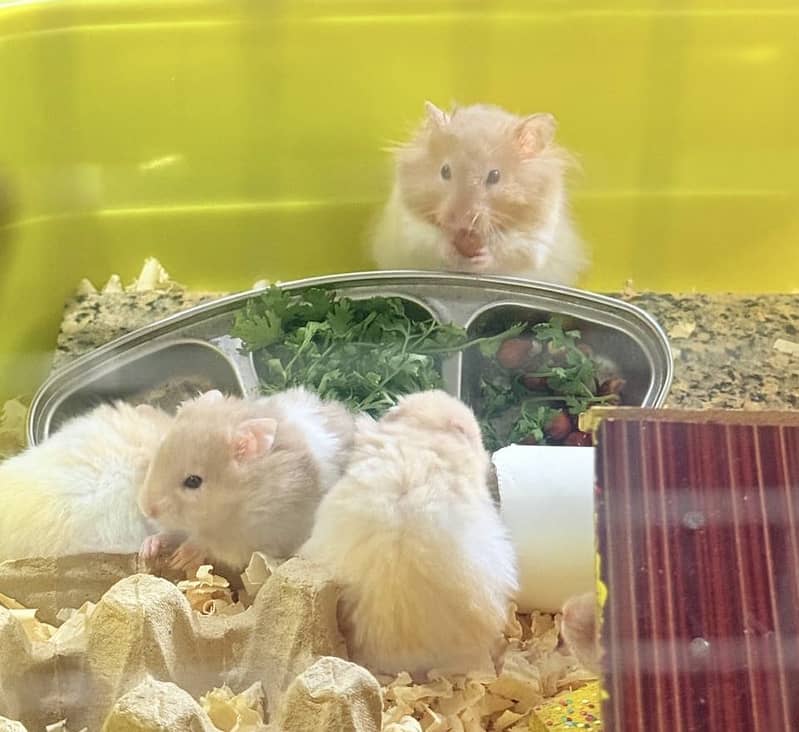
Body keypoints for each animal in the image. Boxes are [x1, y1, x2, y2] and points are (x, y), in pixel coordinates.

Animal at [138, 387, 356, 571]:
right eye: (157, 456)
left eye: (193, 481)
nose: (147, 510)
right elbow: (171, 533)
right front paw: (147, 549)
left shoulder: (248, 538)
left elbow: (206, 544)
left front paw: (181, 558)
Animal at [370, 102, 589, 286]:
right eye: (445, 171)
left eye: (495, 176)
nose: (459, 220)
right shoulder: (410, 227)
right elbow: (428, 241)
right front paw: (451, 248)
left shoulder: (535, 238)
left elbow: (512, 252)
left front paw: (482, 255)